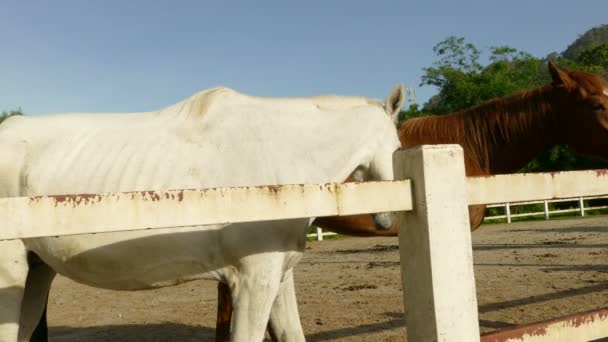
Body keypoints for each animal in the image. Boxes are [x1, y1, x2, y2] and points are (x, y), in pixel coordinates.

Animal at [0, 84, 404, 340]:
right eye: (400, 145)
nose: (387, 220)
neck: (275, 159)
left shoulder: (278, 277)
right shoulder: (252, 282)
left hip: (37, 272)